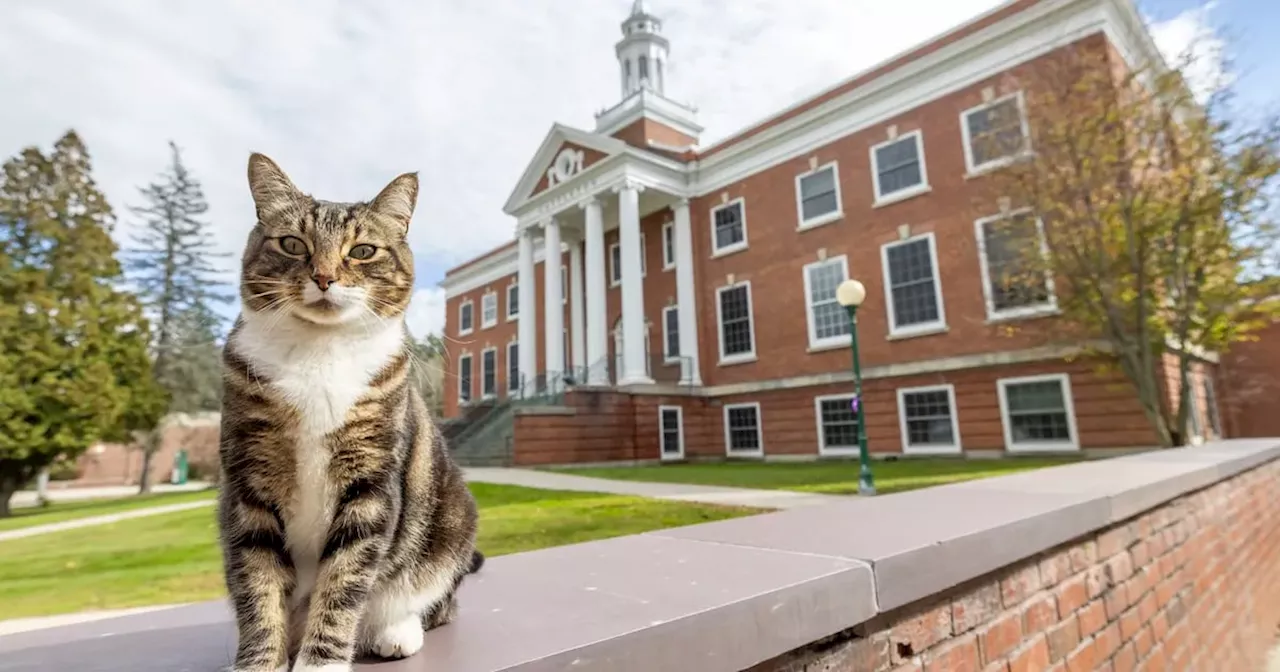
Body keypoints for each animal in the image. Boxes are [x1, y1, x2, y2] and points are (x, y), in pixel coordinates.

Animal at [217, 152, 481, 670]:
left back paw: (395, 630)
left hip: (452, 520)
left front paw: (321, 661)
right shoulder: (248, 483)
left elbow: (344, 579)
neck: (319, 352)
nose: (324, 277)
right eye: (292, 243)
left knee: (436, 600)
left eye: (362, 251)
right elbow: (258, 584)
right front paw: (259, 661)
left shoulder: (371, 482)